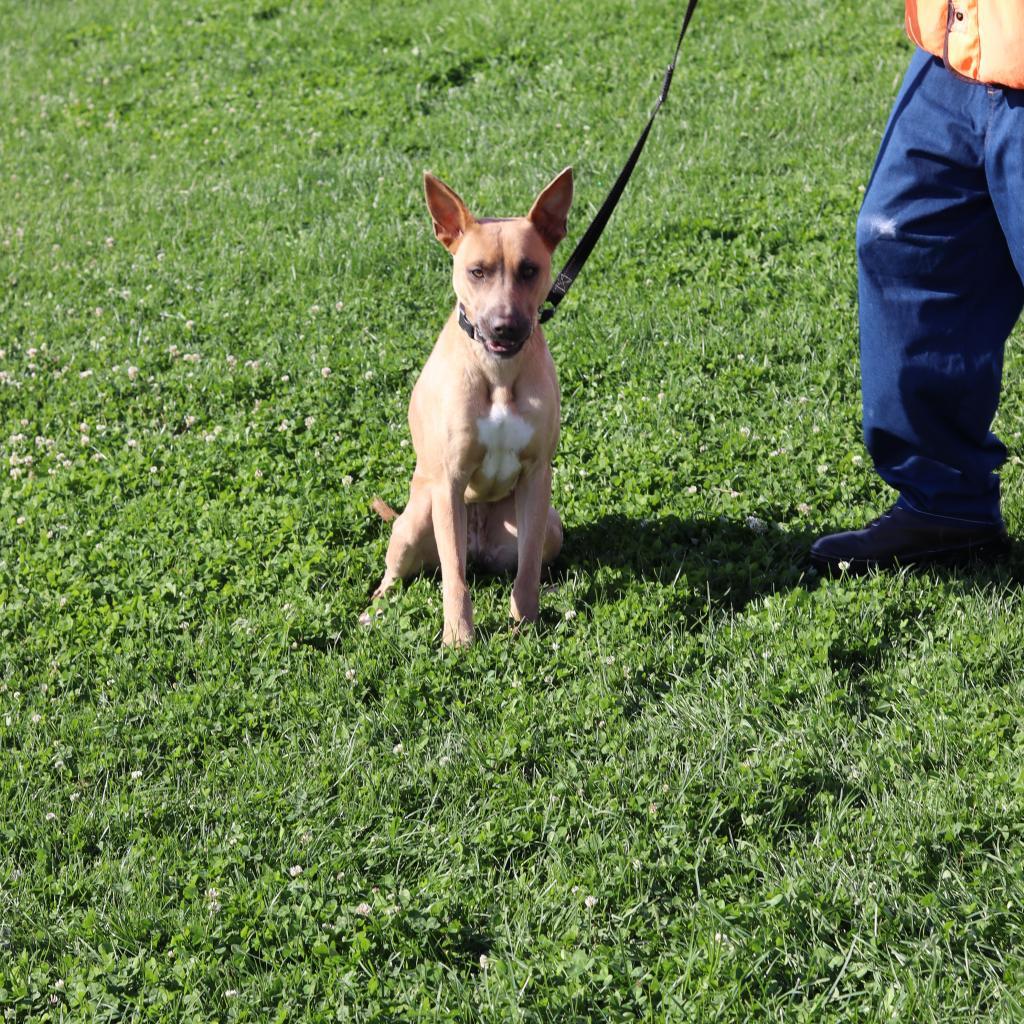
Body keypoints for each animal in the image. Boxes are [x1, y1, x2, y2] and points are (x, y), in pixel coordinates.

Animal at [366, 171, 577, 643]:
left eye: (530, 269)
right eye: (476, 271)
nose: (504, 327)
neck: (497, 373)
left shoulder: (537, 476)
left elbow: (527, 568)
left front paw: (526, 621)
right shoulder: (449, 482)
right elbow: (454, 578)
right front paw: (459, 638)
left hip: (550, 524)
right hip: (418, 518)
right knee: (403, 570)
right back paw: (374, 607)